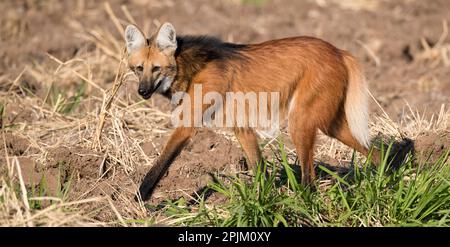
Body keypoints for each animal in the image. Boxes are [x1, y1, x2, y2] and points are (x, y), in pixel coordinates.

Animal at [125, 22, 380, 201]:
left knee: (310, 179)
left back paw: (305, 201)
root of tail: (339, 50)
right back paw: (385, 176)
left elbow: (160, 164)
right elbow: (259, 168)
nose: (142, 91)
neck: (192, 68)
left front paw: (138, 201)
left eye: (156, 69)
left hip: (300, 122)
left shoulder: (188, 126)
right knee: (374, 150)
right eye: (138, 69)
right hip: (331, 124)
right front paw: (263, 199)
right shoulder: (241, 127)